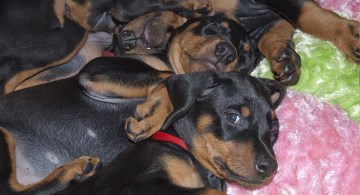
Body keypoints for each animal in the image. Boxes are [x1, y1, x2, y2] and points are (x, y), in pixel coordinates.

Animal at [0, 57, 286, 193]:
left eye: (274, 129)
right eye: (233, 117)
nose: (270, 168)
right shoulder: (96, 70)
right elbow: (169, 76)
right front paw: (152, 114)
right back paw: (75, 170)